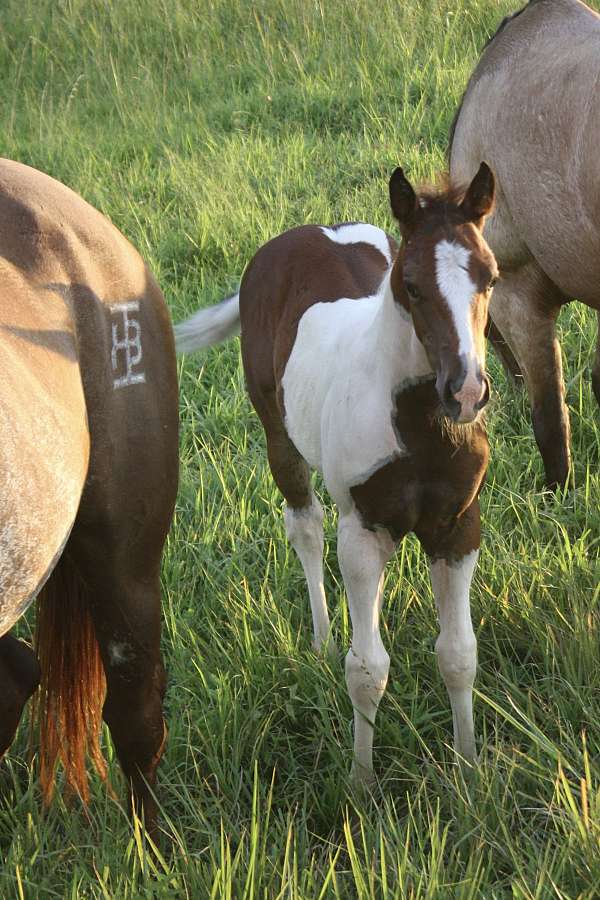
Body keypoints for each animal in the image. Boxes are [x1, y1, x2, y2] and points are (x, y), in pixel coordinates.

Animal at [175, 163, 498, 781]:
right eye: (411, 285)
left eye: (490, 278)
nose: (466, 392)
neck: (419, 428)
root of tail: (301, 233)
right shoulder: (362, 530)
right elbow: (367, 669)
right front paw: (361, 782)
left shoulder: (457, 527)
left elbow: (459, 654)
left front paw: (469, 770)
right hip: (279, 437)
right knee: (304, 527)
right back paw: (323, 640)